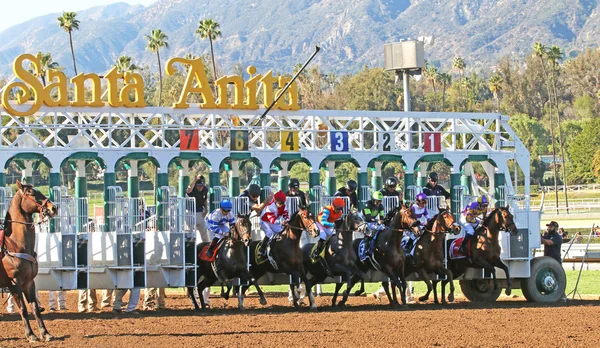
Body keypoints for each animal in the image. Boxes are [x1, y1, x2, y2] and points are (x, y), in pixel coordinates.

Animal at [0, 181, 57, 344]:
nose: (53, 208)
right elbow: (23, 309)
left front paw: (45, 333)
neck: (13, 245)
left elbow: (35, 309)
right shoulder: (14, 284)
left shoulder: (29, 282)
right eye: (31, 192)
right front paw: (30, 335)